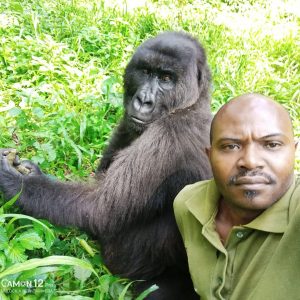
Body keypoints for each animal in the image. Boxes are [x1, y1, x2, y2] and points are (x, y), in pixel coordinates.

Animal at [0, 31, 211, 298]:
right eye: (145, 71)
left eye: (166, 78)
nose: (143, 100)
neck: (193, 103)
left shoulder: (171, 137)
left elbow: (100, 207)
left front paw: (15, 182)